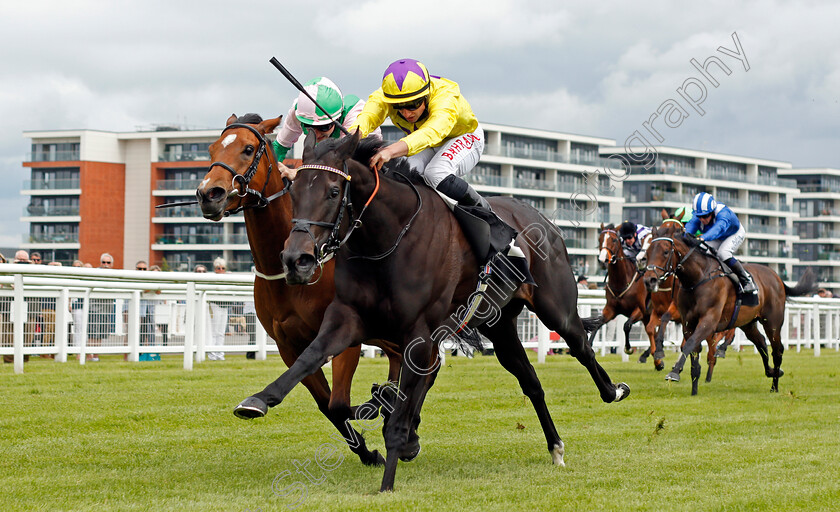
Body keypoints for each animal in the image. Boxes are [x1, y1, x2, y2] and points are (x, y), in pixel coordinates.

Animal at [195, 114, 402, 466]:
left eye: (248, 149)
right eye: (210, 149)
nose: (209, 193)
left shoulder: (345, 337)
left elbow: (339, 403)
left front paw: (372, 433)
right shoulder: (289, 345)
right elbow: (328, 406)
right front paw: (368, 451)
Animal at [238, 131, 632, 492]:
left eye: (334, 192)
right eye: (293, 193)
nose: (296, 260)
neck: (387, 239)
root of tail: (544, 221)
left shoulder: (418, 332)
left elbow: (400, 411)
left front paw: (387, 482)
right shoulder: (345, 318)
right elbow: (309, 359)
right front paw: (257, 400)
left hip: (555, 307)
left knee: (581, 345)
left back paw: (613, 390)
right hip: (500, 326)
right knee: (531, 382)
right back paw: (555, 448)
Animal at [644, 232, 812, 396]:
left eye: (666, 252)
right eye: (647, 253)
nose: (649, 280)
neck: (697, 279)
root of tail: (777, 277)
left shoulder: (709, 321)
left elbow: (689, 344)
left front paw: (674, 372)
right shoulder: (688, 323)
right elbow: (691, 349)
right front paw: (693, 388)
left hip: (772, 322)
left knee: (777, 350)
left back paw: (774, 386)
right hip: (747, 323)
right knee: (761, 342)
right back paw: (770, 372)